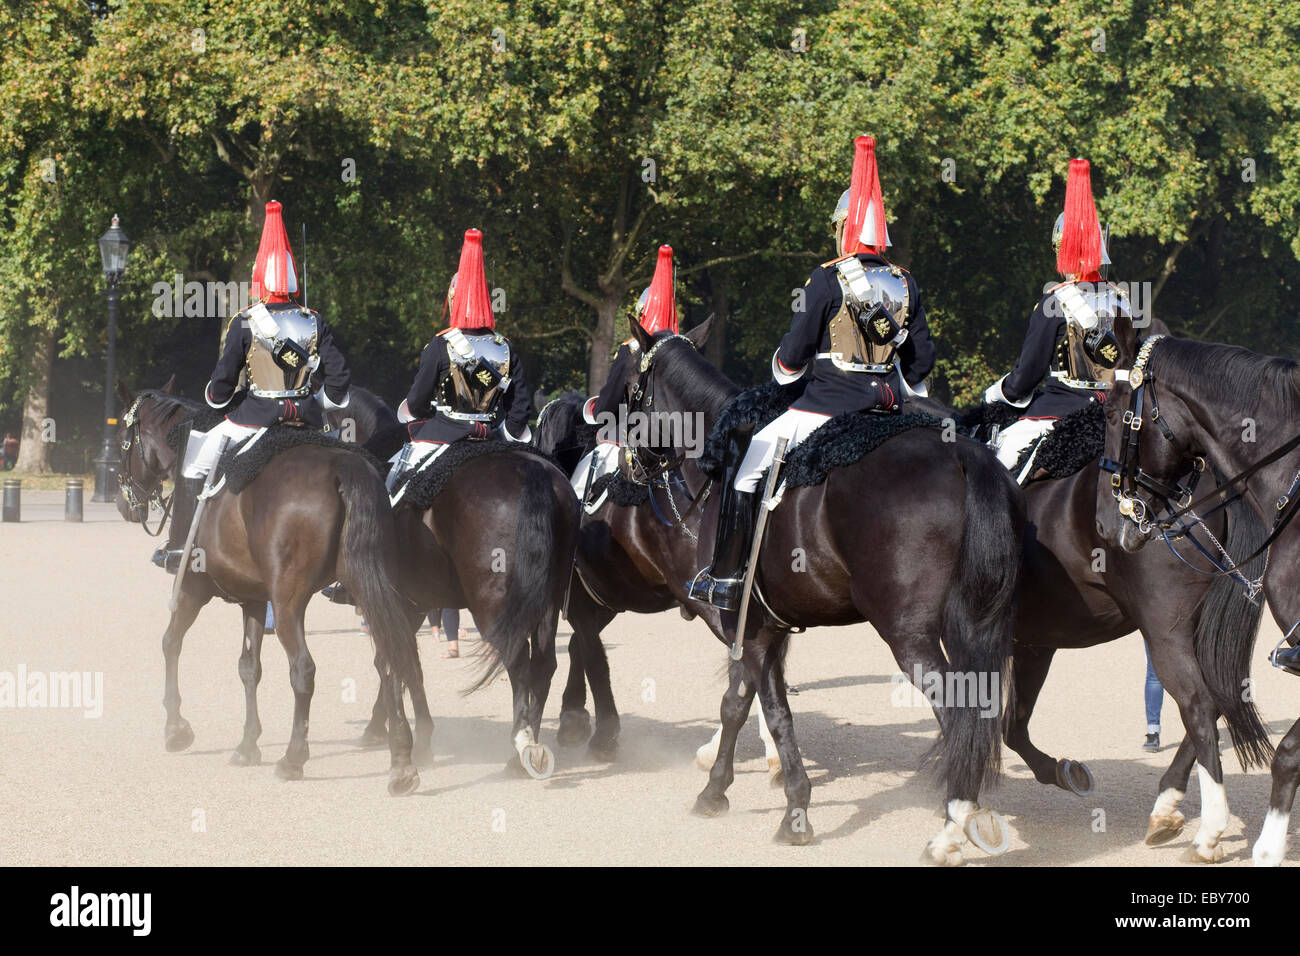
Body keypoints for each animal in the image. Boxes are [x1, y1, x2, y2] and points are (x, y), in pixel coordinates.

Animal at [116, 382, 421, 790]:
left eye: (122, 437)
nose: (123, 504)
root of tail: (344, 466)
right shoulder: (253, 600)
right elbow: (249, 667)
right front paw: (247, 744)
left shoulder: (194, 590)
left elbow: (170, 643)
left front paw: (176, 728)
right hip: (368, 589)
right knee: (390, 660)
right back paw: (401, 759)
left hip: (290, 602)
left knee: (304, 670)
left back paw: (294, 758)